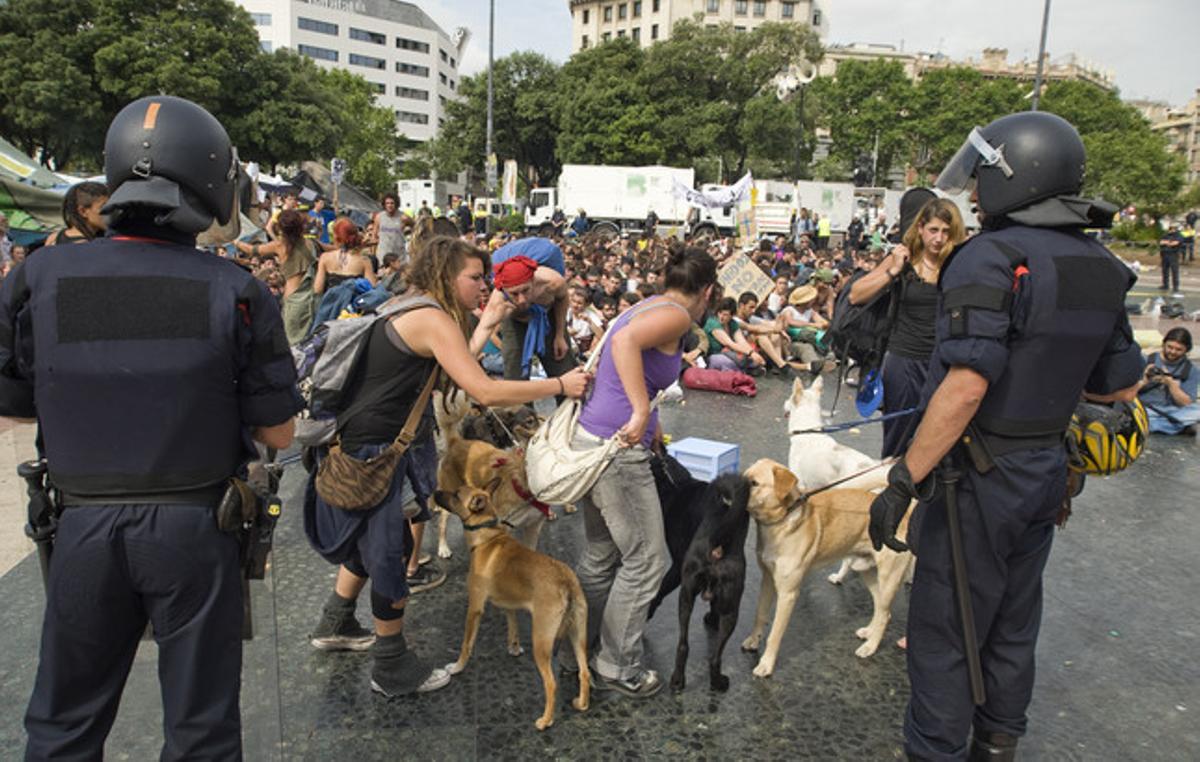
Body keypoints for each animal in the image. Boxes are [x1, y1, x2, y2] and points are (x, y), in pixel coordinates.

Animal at [434, 484, 588, 729]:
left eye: (457, 494)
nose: (434, 493)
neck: (488, 536)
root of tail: (566, 582)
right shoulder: (510, 605)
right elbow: (513, 626)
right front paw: (514, 648)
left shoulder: (475, 607)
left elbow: (466, 645)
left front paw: (457, 667)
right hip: (578, 634)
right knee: (585, 672)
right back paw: (582, 703)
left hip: (541, 641)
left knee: (551, 683)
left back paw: (545, 720)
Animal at [648, 456, 748, 696]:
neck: (676, 486)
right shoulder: (678, 569)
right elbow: (660, 590)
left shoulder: (679, 570)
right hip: (731, 605)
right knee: (715, 657)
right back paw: (717, 682)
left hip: (688, 596)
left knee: (684, 644)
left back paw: (678, 681)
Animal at [734, 458, 912, 681]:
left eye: (754, 483)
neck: (781, 522)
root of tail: (904, 514)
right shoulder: (767, 580)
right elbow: (760, 615)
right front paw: (753, 641)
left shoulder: (788, 594)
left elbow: (774, 634)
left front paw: (766, 664)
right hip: (866, 571)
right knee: (882, 610)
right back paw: (869, 633)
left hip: (889, 578)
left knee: (884, 613)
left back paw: (870, 647)